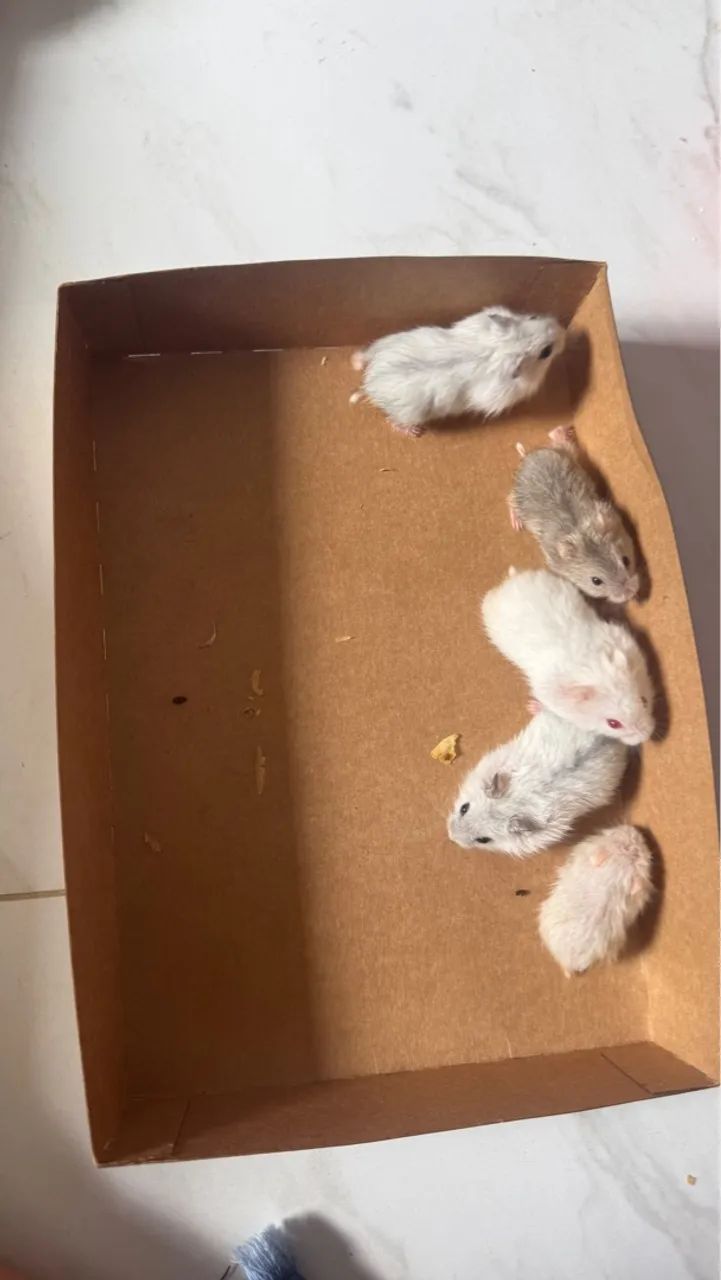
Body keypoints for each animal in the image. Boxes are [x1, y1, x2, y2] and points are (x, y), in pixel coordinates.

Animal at [350, 306, 565, 436]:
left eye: (533, 316)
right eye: (546, 352)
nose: (564, 329)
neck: (501, 349)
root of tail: (369, 382)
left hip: (386, 342)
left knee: (366, 354)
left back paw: (356, 360)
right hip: (409, 413)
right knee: (393, 421)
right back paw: (415, 432)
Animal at [481, 569, 655, 746]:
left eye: (644, 700)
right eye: (613, 724)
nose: (646, 736)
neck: (594, 669)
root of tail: (512, 580)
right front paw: (530, 706)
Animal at [509, 426, 639, 604]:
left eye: (626, 560)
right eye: (596, 581)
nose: (631, 594)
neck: (579, 531)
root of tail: (528, 456)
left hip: (566, 453)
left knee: (558, 440)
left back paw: (563, 431)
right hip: (518, 499)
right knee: (509, 500)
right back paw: (516, 523)